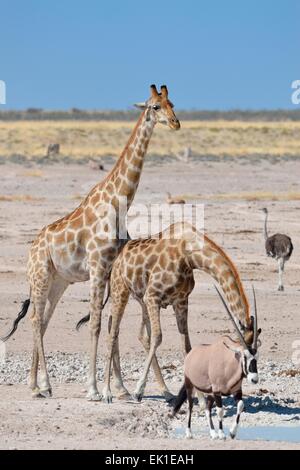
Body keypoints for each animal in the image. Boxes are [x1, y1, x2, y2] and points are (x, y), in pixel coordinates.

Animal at [1, 83, 180, 400]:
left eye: (173, 103)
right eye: (155, 106)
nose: (175, 123)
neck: (119, 203)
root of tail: (32, 248)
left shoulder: (111, 270)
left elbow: (111, 324)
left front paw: (120, 388)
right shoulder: (97, 268)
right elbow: (96, 324)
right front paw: (96, 389)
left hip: (58, 282)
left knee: (43, 321)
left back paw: (38, 384)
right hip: (40, 276)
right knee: (35, 319)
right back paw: (40, 385)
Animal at [101, 222, 255, 402]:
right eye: (242, 355)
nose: (253, 378)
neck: (190, 255)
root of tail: (118, 259)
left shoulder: (180, 301)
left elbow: (186, 347)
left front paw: (202, 401)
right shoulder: (153, 296)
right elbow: (158, 337)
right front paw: (138, 390)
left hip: (142, 300)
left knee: (141, 335)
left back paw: (166, 392)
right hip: (121, 291)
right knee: (112, 334)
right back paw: (107, 393)